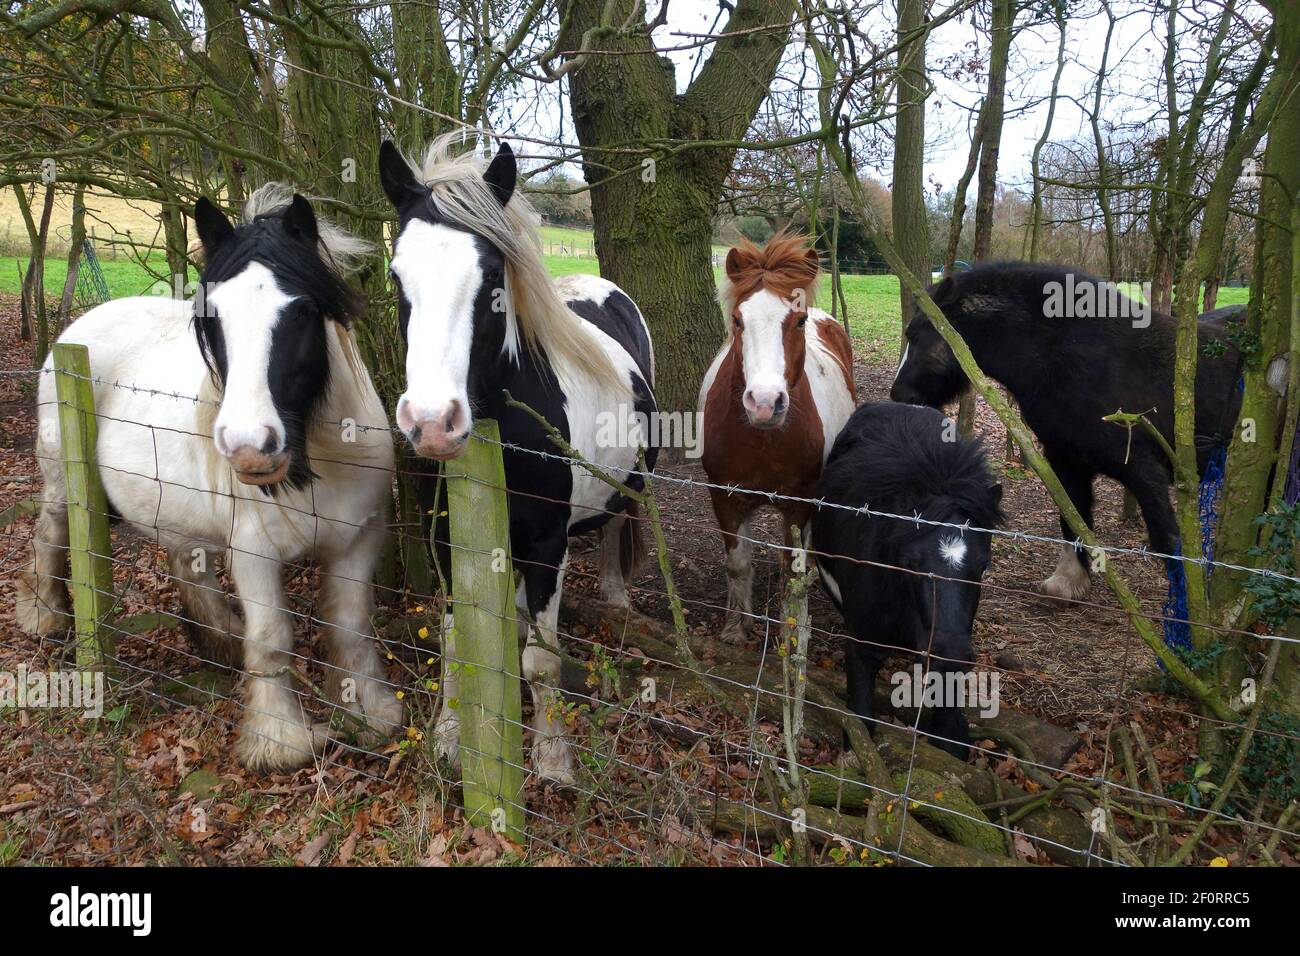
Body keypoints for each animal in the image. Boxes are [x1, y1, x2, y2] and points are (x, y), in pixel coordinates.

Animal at [17, 186, 400, 772]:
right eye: (211, 316)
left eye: (302, 311)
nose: (248, 445)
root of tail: (80, 328)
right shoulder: (254, 551)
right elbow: (272, 638)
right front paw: (280, 741)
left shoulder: (359, 539)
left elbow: (351, 625)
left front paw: (370, 713)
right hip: (63, 481)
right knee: (50, 534)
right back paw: (44, 617)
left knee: (186, 560)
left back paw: (219, 643)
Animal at [378, 135, 657, 785]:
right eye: (397, 273)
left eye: (490, 278)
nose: (433, 422)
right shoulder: (446, 536)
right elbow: (457, 643)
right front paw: (449, 739)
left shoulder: (548, 543)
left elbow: (540, 663)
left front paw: (553, 758)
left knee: (615, 528)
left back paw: (615, 595)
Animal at [698, 233, 855, 643]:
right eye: (738, 320)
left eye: (798, 321)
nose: (766, 403)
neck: (761, 441)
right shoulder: (724, 496)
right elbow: (738, 563)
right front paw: (736, 629)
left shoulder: (799, 503)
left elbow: (792, 572)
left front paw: (793, 632)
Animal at [812, 402, 1004, 758]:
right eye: (911, 562)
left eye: (984, 564)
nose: (950, 654)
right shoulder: (862, 644)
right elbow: (861, 723)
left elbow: (950, 737)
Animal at [889, 261, 1243, 601]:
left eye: (916, 335)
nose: (899, 394)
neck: (1067, 358)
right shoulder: (1065, 461)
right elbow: (1073, 519)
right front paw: (1069, 581)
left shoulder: (1144, 469)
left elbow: (1168, 541)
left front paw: (1190, 613)